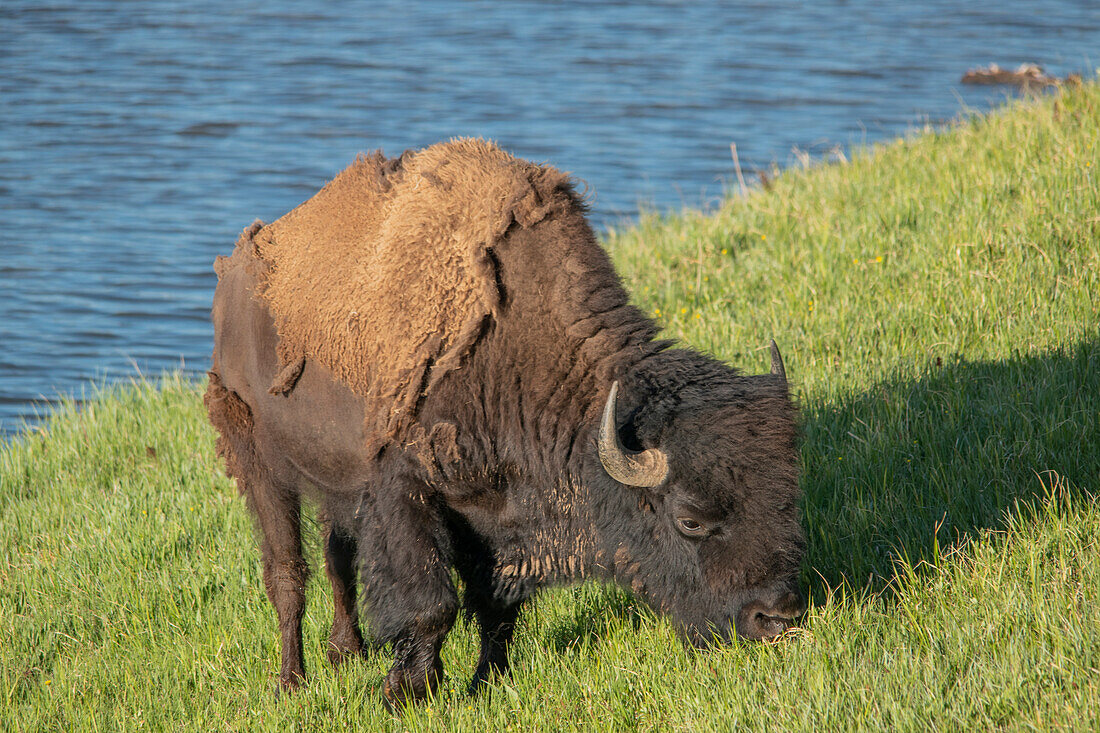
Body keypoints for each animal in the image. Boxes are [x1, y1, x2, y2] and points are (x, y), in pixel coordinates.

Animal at [206, 137, 809, 704]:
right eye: (689, 520)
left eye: (787, 500)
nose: (775, 619)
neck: (517, 352)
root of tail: (236, 273)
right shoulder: (404, 490)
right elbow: (432, 605)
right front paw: (408, 694)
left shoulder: (492, 508)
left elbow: (495, 605)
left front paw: (487, 682)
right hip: (257, 460)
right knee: (287, 572)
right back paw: (292, 681)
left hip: (333, 479)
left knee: (337, 557)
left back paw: (345, 653)